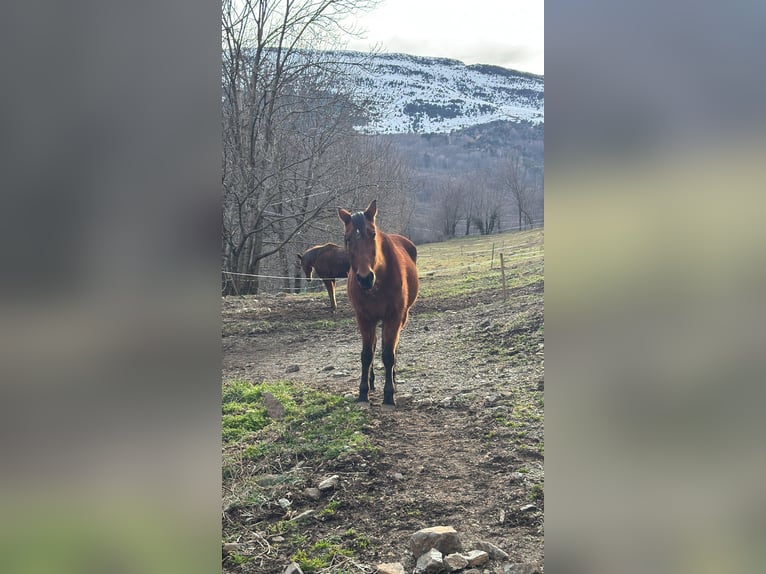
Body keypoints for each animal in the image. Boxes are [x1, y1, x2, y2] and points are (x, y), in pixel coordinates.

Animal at [337, 200, 419, 408]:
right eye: (347, 238)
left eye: (372, 234)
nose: (365, 278)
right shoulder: (364, 318)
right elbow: (367, 354)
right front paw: (363, 391)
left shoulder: (394, 317)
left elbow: (388, 354)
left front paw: (389, 394)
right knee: (374, 346)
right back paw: (372, 380)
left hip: (401, 318)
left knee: (392, 348)